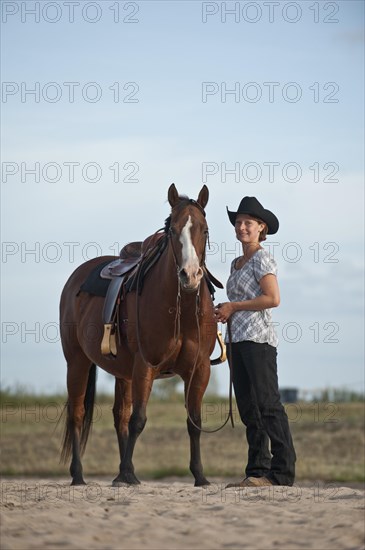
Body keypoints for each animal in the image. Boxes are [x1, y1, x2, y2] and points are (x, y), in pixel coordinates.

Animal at [60, 184, 219, 488]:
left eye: (205, 230)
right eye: (172, 231)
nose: (190, 275)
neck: (180, 309)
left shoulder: (199, 369)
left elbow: (193, 422)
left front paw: (200, 476)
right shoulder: (146, 365)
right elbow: (139, 420)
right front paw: (125, 473)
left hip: (124, 372)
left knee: (119, 415)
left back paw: (123, 473)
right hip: (77, 362)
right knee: (77, 413)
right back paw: (78, 475)